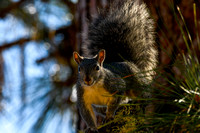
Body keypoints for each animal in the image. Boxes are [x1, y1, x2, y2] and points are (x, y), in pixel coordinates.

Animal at [72, 0, 157, 132]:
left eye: (97, 67)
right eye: (79, 69)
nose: (87, 79)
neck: (94, 86)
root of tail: (129, 62)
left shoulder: (116, 85)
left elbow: (114, 101)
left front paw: (109, 116)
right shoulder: (82, 98)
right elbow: (87, 115)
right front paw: (91, 128)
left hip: (135, 84)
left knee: (143, 94)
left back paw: (142, 101)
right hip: (100, 106)